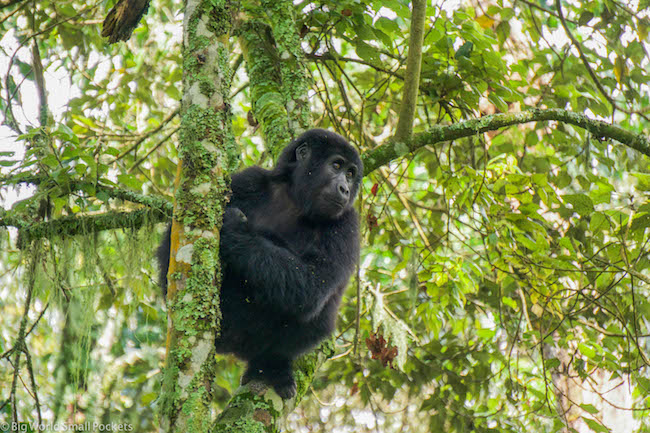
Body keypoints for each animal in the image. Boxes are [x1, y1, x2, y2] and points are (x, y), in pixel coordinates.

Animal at [155, 128, 362, 398]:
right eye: (336, 165)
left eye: (350, 174)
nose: (345, 189)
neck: (295, 198)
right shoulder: (248, 180)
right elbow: (171, 246)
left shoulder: (347, 223)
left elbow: (313, 283)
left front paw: (234, 230)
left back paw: (272, 365)